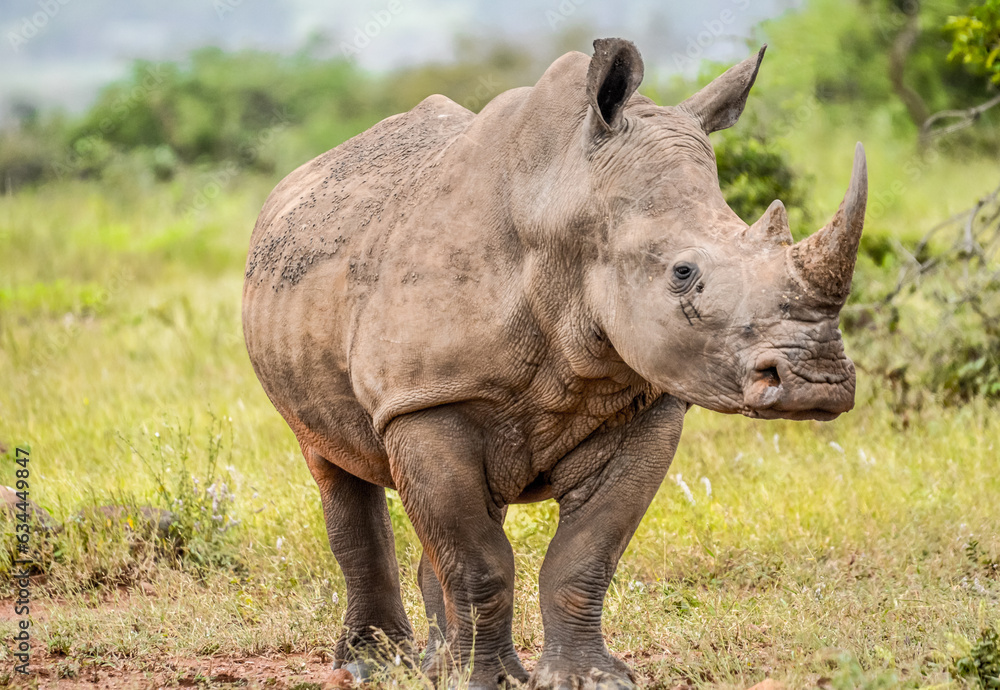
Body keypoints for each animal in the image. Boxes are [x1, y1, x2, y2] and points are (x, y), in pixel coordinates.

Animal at [242, 38, 867, 689]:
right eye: (683, 273)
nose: (817, 383)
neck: (567, 206)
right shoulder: (425, 398)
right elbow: (478, 560)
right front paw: (484, 681)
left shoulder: (651, 406)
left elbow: (584, 556)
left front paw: (587, 678)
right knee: (334, 466)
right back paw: (371, 665)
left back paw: (436, 665)